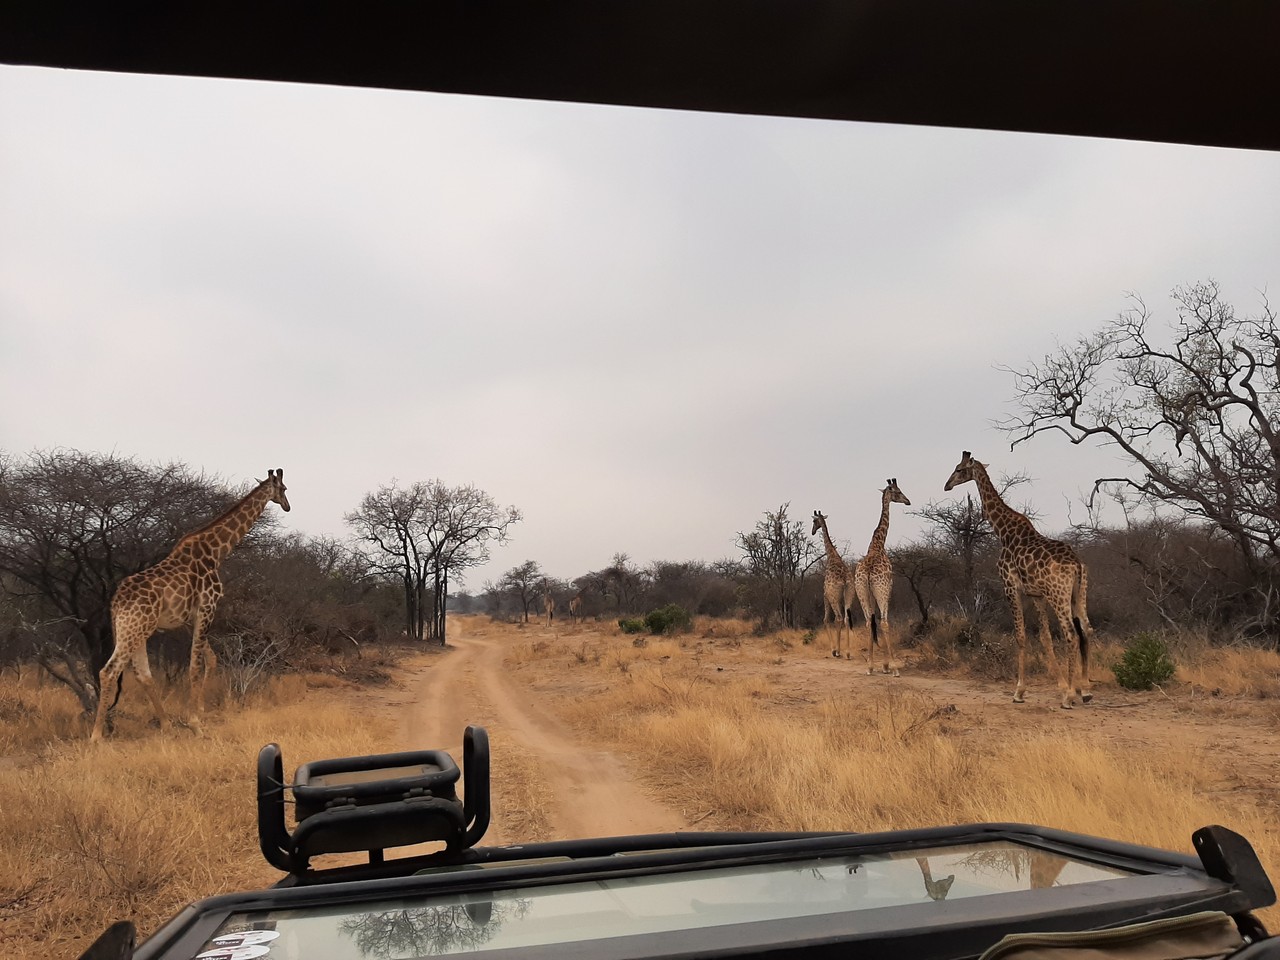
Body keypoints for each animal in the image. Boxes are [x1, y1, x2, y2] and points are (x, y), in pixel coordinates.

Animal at [90, 469, 290, 742]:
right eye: (284, 489)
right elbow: (195, 666)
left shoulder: (188, 618)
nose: (288, 506)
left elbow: (210, 659)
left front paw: (200, 712)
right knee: (109, 671)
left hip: (134, 629)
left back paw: (166, 724)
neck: (216, 552)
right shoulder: (207, 607)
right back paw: (96, 735)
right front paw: (195, 723)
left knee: (142, 673)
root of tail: (116, 600)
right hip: (136, 628)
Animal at [811, 511, 855, 660]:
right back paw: (847, 652)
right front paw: (839, 650)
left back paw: (837, 651)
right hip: (849, 594)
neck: (832, 556)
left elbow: (826, 619)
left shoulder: (826, 594)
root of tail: (845, 580)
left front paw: (834, 649)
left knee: (839, 618)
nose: (813, 531)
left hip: (834, 598)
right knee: (846, 618)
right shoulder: (839, 598)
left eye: (814, 522)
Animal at [853, 479, 911, 677]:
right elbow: (882, 621)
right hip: (882, 590)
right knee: (885, 622)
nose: (908, 501)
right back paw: (894, 668)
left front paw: (877, 665)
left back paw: (870, 667)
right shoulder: (888, 588)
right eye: (898, 491)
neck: (878, 544)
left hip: (861, 591)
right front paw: (886, 665)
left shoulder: (870, 594)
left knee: (868, 622)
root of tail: (869, 572)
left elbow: (873, 621)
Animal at [943, 451, 1094, 709]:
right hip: (1078, 593)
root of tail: (1076, 564)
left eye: (959, 469)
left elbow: (1021, 636)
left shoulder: (1010, 586)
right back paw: (1084, 690)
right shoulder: (1036, 594)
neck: (1003, 531)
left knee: (1071, 634)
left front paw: (1020, 691)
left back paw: (1069, 698)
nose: (947, 485)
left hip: (1059, 595)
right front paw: (1062, 686)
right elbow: (1045, 638)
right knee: (1085, 629)